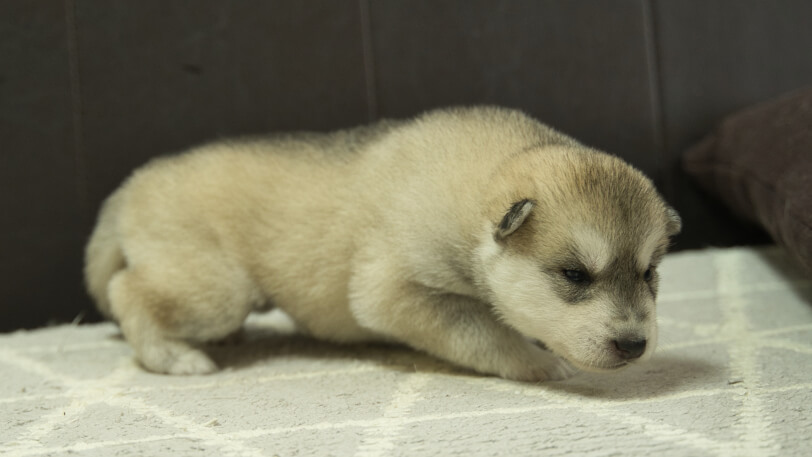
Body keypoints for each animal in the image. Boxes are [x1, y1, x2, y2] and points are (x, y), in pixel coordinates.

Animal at [84, 105, 680, 380]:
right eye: (575, 274)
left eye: (650, 273)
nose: (635, 345)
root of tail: (131, 184)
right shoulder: (395, 292)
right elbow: (486, 332)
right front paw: (536, 361)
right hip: (217, 287)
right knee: (127, 291)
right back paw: (173, 356)